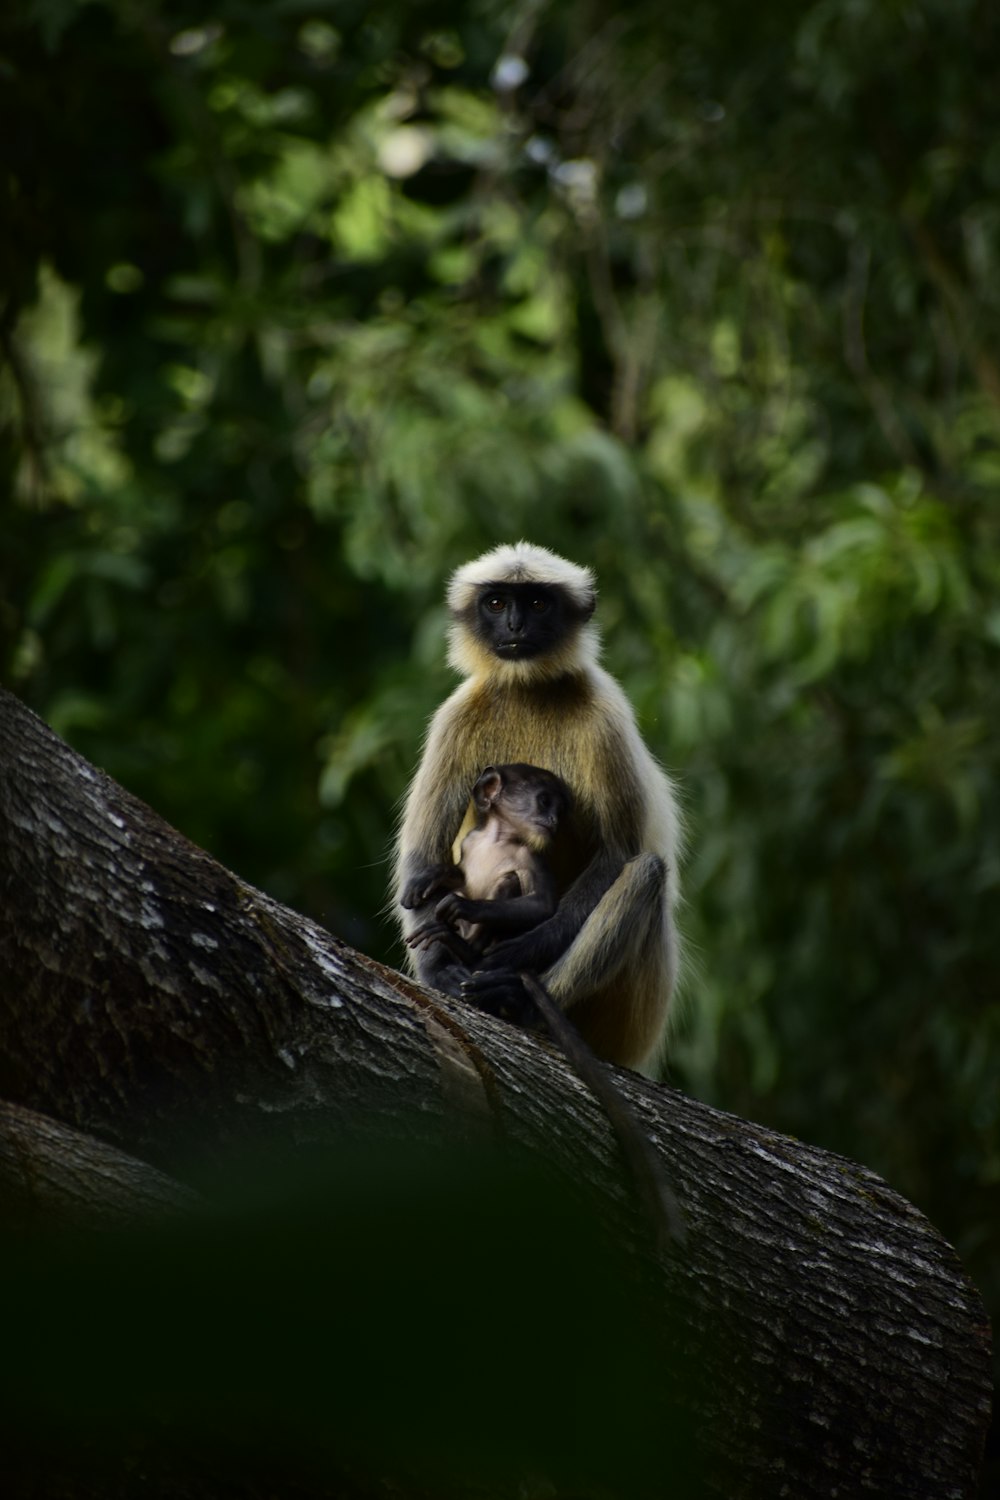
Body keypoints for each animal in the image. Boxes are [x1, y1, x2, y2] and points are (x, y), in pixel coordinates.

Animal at [395, 546, 683, 1074]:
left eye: (536, 602)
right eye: (496, 602)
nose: (514, 625)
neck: (528, 688)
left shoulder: (605, 718)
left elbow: (616, 855)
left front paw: (509, 959)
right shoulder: (456, 715)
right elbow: (422, 868)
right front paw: (439, 965)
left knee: (645, 871)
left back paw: (520, 998)